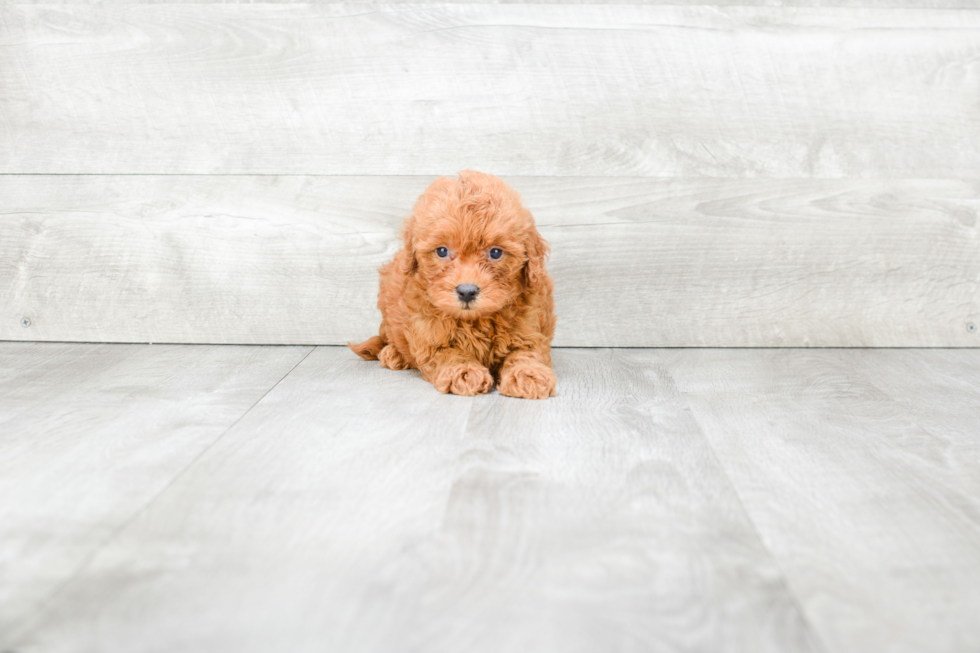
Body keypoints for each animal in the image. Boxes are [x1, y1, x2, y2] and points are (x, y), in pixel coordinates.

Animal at [348, 169, 556, 398]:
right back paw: (394, 354)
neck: (475, 321)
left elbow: (526, 353)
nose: (467, 292)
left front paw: (528, 374)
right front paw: (464, 371)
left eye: (495, 252)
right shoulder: (429, 338)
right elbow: (449, 353)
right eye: (442, 251)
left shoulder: (529, 329)